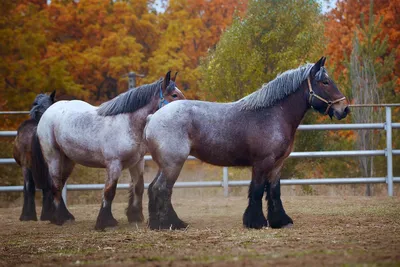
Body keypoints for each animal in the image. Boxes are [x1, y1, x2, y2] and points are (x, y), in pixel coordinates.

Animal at [13, 91, 56, 222]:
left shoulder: (25, 166)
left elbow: (26, 189)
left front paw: (25, 215)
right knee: (49, 187)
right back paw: (48, 215)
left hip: (26, 167)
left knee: (30, 187)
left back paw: (29, 216)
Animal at [31, 71, 186, 230]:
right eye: (174, 95)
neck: (127, 123)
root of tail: (48, 112)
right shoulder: (114, 164)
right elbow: (109, 191)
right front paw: (105, 221)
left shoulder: (138, 162)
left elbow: (138, 187)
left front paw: (135, 216)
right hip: (53, 156)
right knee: (56, 184)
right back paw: (60, 218)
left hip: (68, 160)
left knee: (60, 183)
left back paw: (65, 216)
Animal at [145, 57, 350, 230]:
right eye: (325, 82)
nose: (344, 109)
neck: (273, 113)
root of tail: (153, 117)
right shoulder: (262, 163)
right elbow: (257, 191)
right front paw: (256, 222)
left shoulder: (277, 165)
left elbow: (274, 192)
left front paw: (280, 221)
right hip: (173, 164)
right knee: (162, 189)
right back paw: (171, 224)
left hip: (165, 165)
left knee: (154, 188)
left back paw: (157, 223)